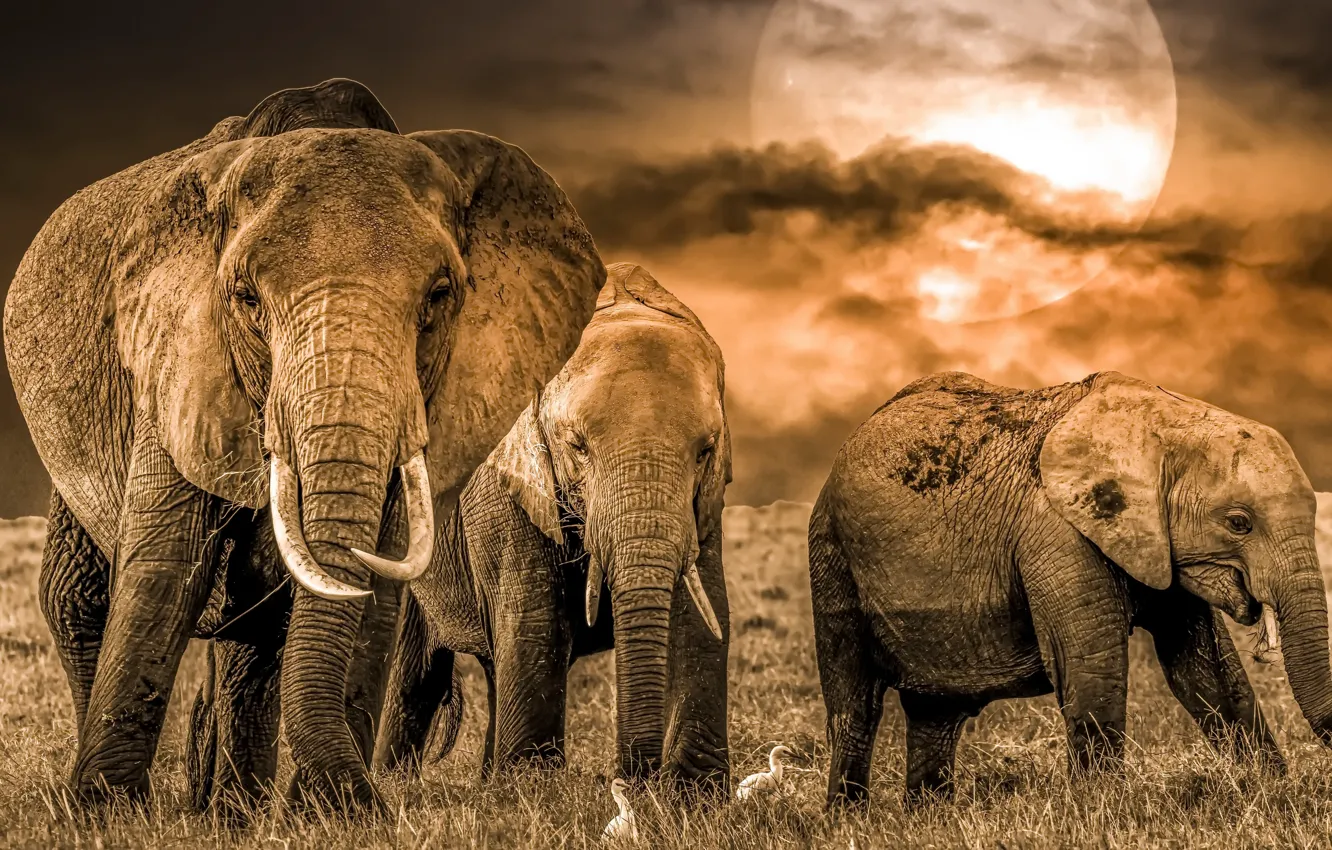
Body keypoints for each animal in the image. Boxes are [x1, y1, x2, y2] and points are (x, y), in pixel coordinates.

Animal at [4, 78, 606, 812]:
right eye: (245, 299)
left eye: (439, 297)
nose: (358, 799)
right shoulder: (177, 359)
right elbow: (165, 561)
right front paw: (104, 812)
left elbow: (374, 583)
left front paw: (331, 814)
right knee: (79, 595)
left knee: (251, 631)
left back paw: (233, 813)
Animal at [373, 262, 732, 792]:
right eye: (577, 446)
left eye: (706, 451)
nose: (631, 780)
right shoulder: (506, 489)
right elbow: (534, 621)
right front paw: (534, 790)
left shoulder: (704, 506)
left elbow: (701, 614)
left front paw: (693, 796)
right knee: (416, 676)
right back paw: (394, 784)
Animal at [808, 370, 1332, 807]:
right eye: (1239, 523)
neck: (1165, 424)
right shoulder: (1058, 533)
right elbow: (1091, 666)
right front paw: (1106, 813)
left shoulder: (1155, 543)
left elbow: (1209, 673)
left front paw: (1273, 793)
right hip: (830, 552)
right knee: (854, 704)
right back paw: (849, 819)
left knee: (935, 712)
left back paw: (929, 817)